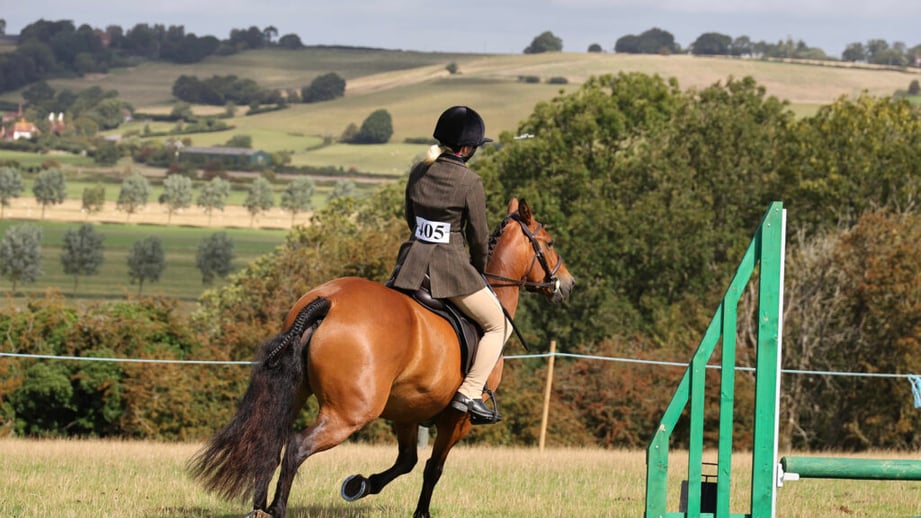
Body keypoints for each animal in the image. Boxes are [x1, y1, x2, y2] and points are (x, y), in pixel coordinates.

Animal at [188, 198, 575, 518]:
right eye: (550, 242)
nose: (569, 284)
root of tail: (327, 302)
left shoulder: (408, 412)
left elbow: (407, 461)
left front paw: (358, 485)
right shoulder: (457, 417)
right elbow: (432, 468)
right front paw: (420, 514)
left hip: (294, 394)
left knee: (270, 440)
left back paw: (259, 508)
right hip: (349, 413)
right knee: (297, 446)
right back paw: (277, 509)